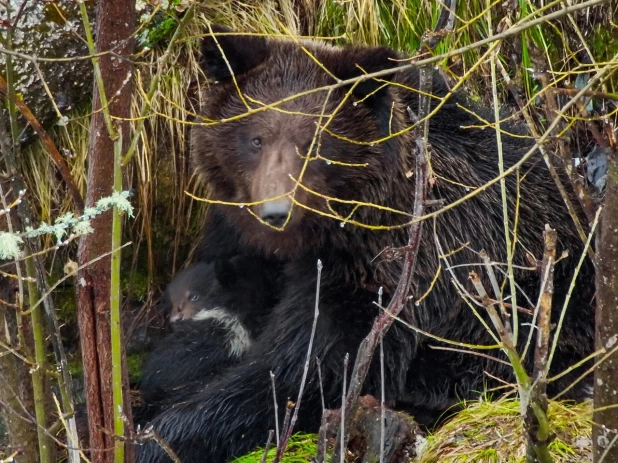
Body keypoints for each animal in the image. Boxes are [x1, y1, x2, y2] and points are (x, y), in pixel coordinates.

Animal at [134, 26, 592, 463]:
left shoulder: (385, 267)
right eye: (255, 139)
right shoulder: (234, 234)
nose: (277, 212)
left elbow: (306, 371)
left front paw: (161, 435)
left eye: (314, 142)